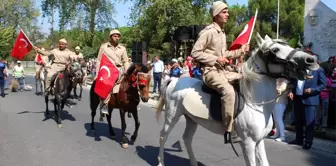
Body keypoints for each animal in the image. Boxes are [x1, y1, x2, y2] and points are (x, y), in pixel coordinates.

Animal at [156, 33, 318, 165]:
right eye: (275, 50)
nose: (310, 60)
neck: (256, 103)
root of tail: (174, 80)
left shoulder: (259, 141)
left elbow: (264, 163)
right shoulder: (248, 143)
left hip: (191, 119)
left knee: (187, 139)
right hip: (172, 116)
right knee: (163, 136)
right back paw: (161, 162)